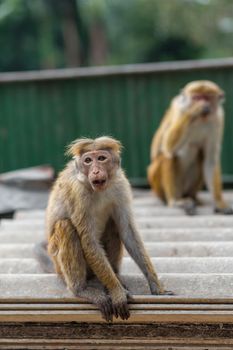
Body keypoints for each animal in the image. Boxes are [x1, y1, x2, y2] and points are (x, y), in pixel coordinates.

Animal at [36, 135, 169, 322]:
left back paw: (116, 275)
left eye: (101, 158)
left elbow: (128, 231)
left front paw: (155, 285)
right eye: (88, 161)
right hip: (59, 264)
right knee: (66, 226)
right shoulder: (78, 194)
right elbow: (89, 241)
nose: (96, 171)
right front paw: (116, 291)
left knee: (113, 225)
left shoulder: (121, 185)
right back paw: (82, 289)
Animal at [148, 80, 232, 216]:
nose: (203, 104)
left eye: (207, 97)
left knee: (200, 154)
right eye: (196, 98)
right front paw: (194, 110)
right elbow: (168, 144)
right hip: (156, 183)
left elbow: (210, 160)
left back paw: (193, 198)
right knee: (168, 155)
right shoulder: (179, 108)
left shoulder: (218, 119)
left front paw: (219, 202)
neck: (200, 120)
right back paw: (175, 201)